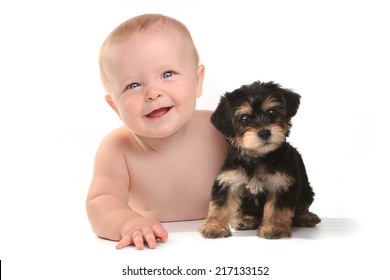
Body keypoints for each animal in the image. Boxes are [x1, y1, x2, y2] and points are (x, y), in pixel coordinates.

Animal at [201, 80, 320, 238]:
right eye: (244, 119)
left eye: (272, 112)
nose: (264, 133)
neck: (258, 157)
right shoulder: (229, 180)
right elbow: (220, 205)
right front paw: (214, 227)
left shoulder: (282, 183)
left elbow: (277, 208)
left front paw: (274, 227)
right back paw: (246, 220)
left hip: (306, 191)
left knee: (301, 207)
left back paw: (306, 217)